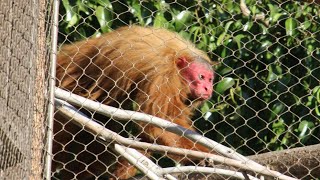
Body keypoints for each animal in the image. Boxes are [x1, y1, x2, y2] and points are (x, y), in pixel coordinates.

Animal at [53, 25, 215, 179]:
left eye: (210, 79)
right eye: (201, 77)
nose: (208, 88)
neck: (176, 64)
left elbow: (154, 131)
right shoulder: (163, 75)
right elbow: (156, 124)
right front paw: (199, 157)